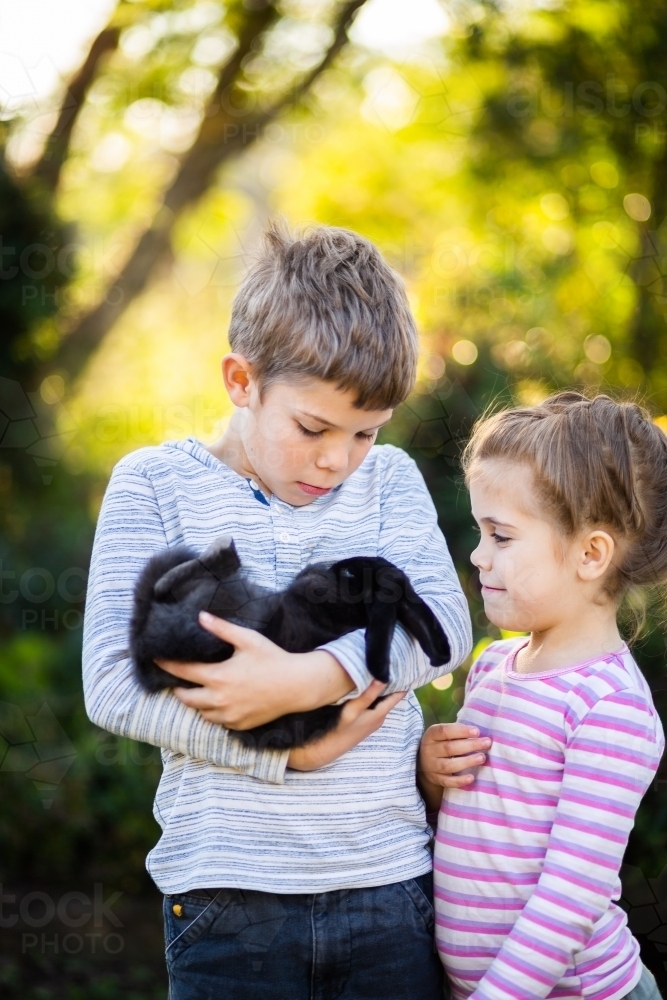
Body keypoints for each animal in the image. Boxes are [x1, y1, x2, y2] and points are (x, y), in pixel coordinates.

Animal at [129, 536, 454, 748]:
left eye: (350, 573)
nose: (326, 566)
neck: (352, 612)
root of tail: (146, 647)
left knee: (164, 585)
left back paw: (222, 553)